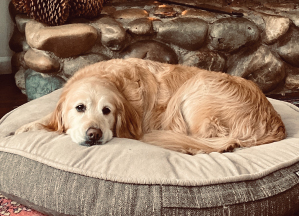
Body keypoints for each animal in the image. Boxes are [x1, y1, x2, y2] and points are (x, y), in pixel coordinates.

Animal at [15, 58, 288, 154]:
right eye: (80, 107)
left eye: (107, 111)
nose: (94, 134)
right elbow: (44, 121)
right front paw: (22, 129)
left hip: (194, 88)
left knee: (207, 141)